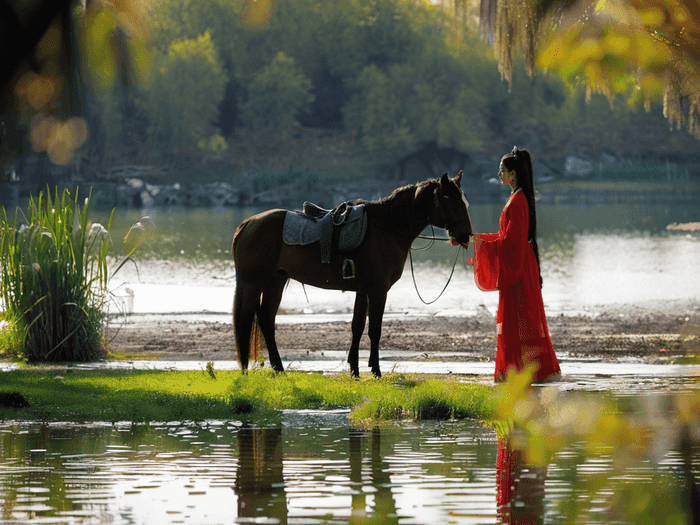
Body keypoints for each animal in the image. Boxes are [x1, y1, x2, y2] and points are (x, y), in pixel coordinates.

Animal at [232, 172, 474, 376]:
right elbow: (374, 329)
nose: (466, 235)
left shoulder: (362, 290)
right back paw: (245, 370)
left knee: (266, 320)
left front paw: (355, 370)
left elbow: (357, 327)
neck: (386, 228)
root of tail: (248, 223)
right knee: (246, 321)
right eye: (451, 200)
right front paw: (375, 370)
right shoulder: (378, 290)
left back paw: (279, 368)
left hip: (276, 281)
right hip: (254, 284)